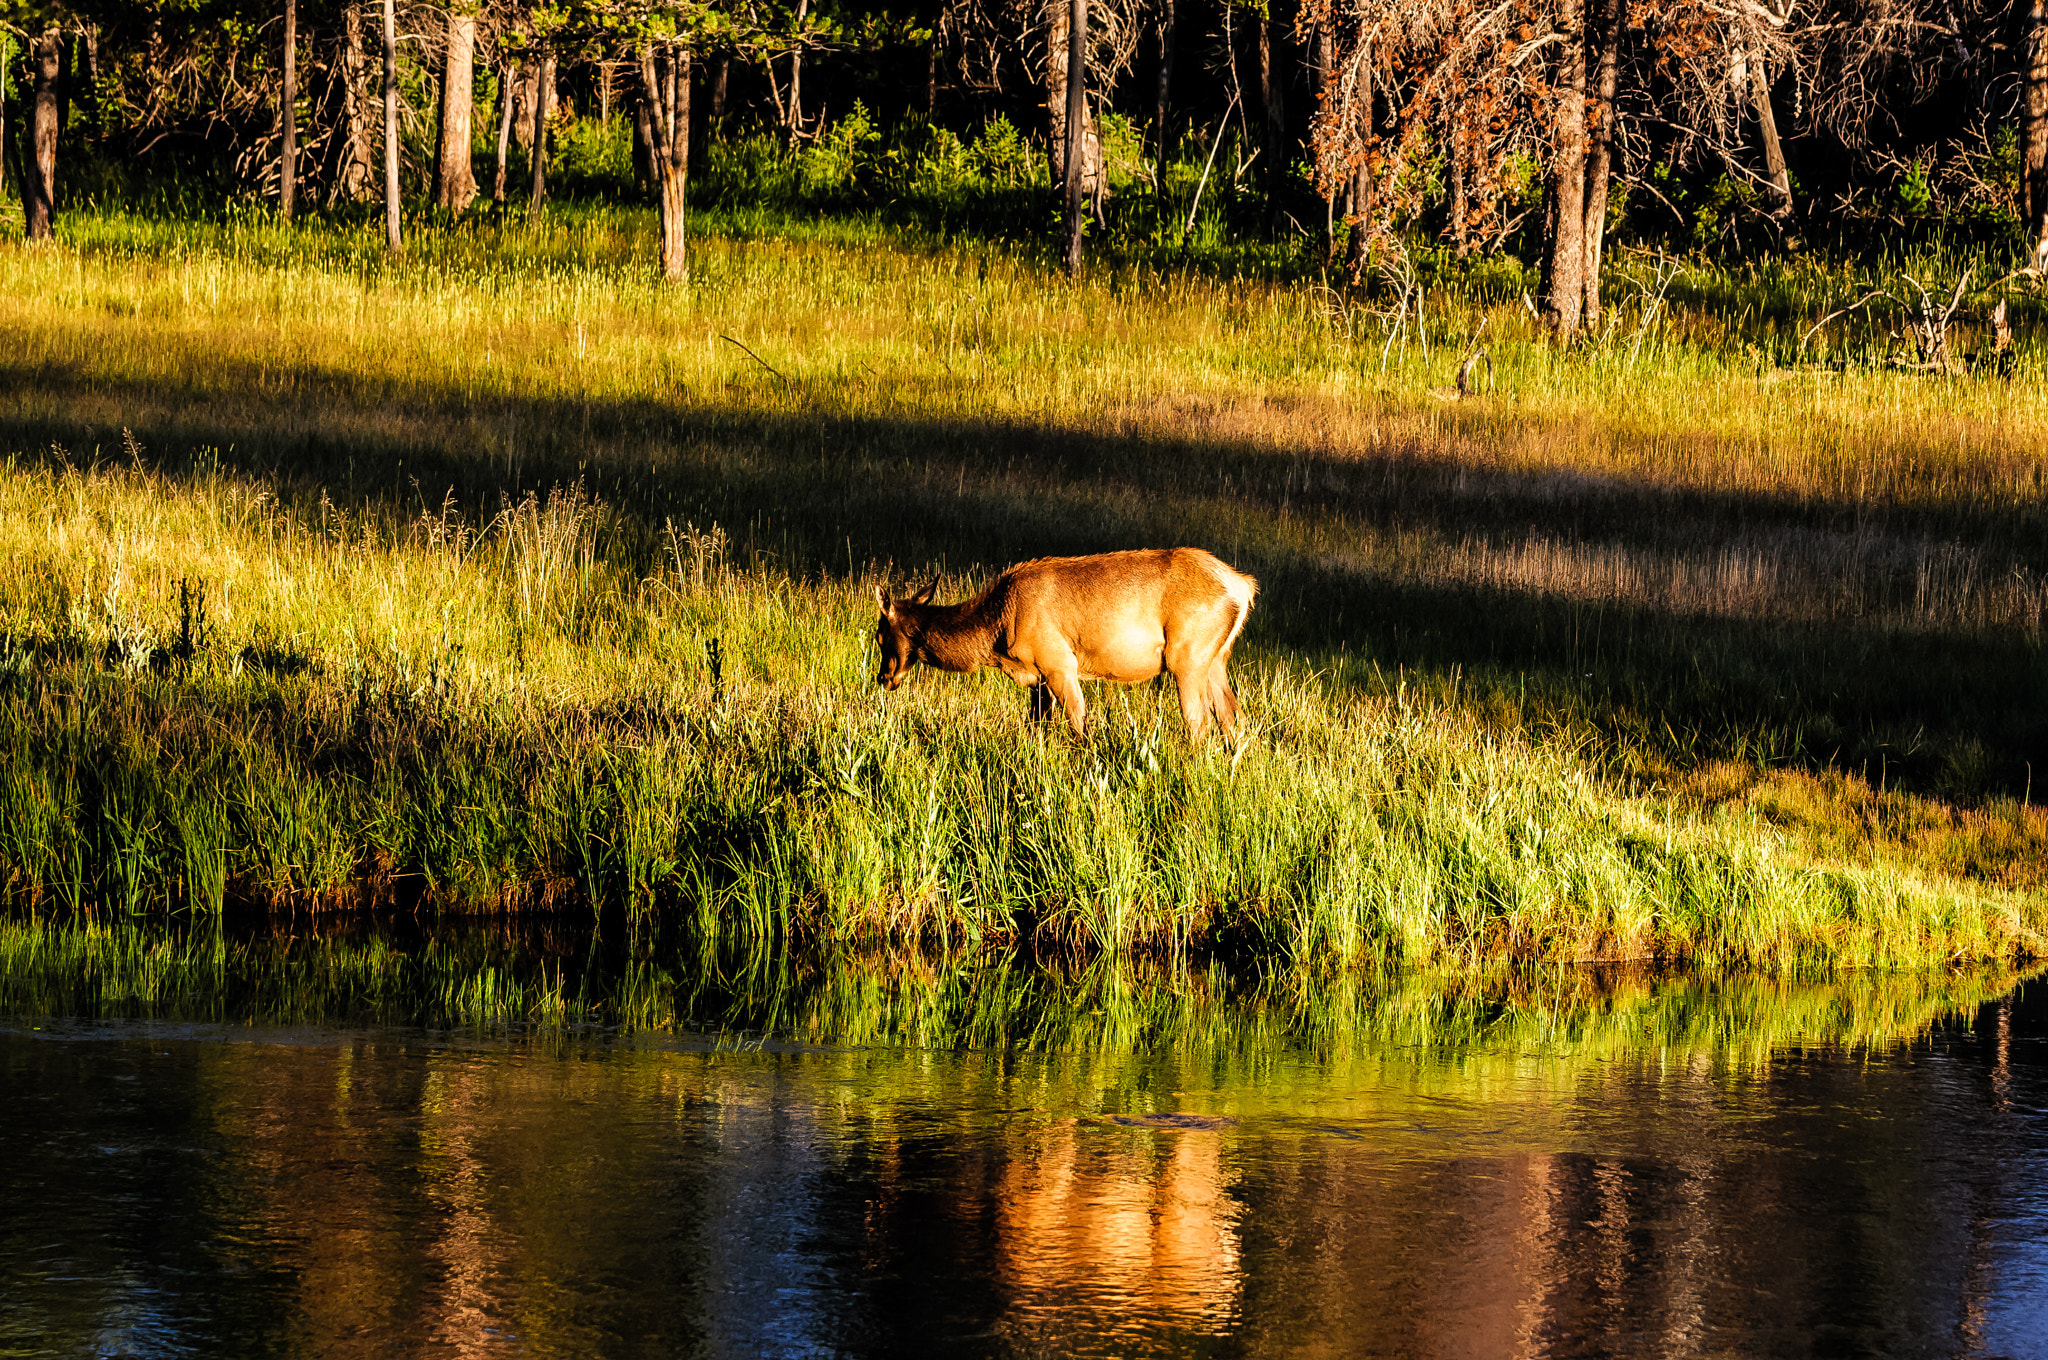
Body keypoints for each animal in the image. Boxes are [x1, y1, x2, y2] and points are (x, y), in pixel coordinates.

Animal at [873, 548, 1257, 742]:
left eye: (879, 635)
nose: (883, 677)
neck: (996, 633)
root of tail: (1243, 586)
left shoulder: (1058, 662)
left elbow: (1080, 727)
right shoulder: (1039, 678)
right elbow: (1035, 729)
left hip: (1187, 656)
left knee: (1199, 723)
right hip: (1216, 658)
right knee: (1234, 719)